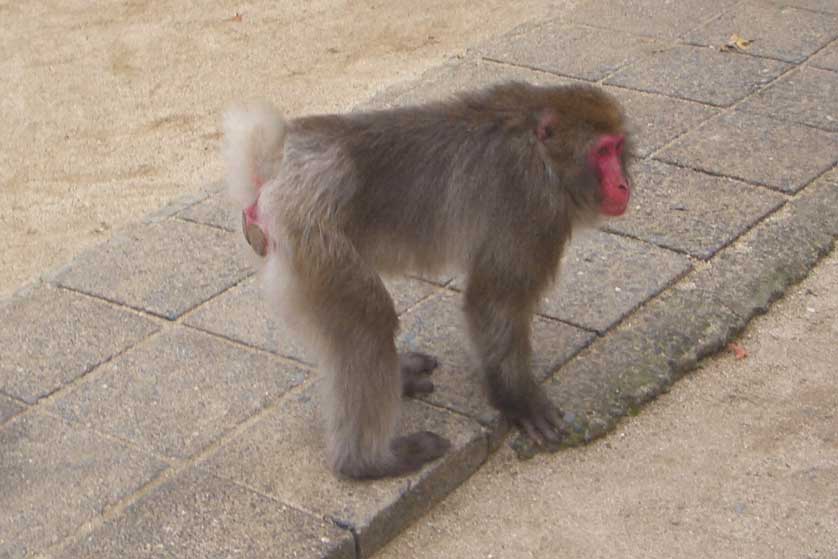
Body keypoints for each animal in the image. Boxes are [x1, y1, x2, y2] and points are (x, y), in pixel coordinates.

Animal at [223, 83, 632, 482]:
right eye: (602, 151)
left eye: (617, 147)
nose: (624, 185)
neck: (541, 151)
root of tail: (277, 163)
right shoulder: (533, 207)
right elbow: (493, 302)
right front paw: (518, 399)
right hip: (312, 232)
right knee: (369, 322)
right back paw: (367, 463)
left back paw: (396, 377)